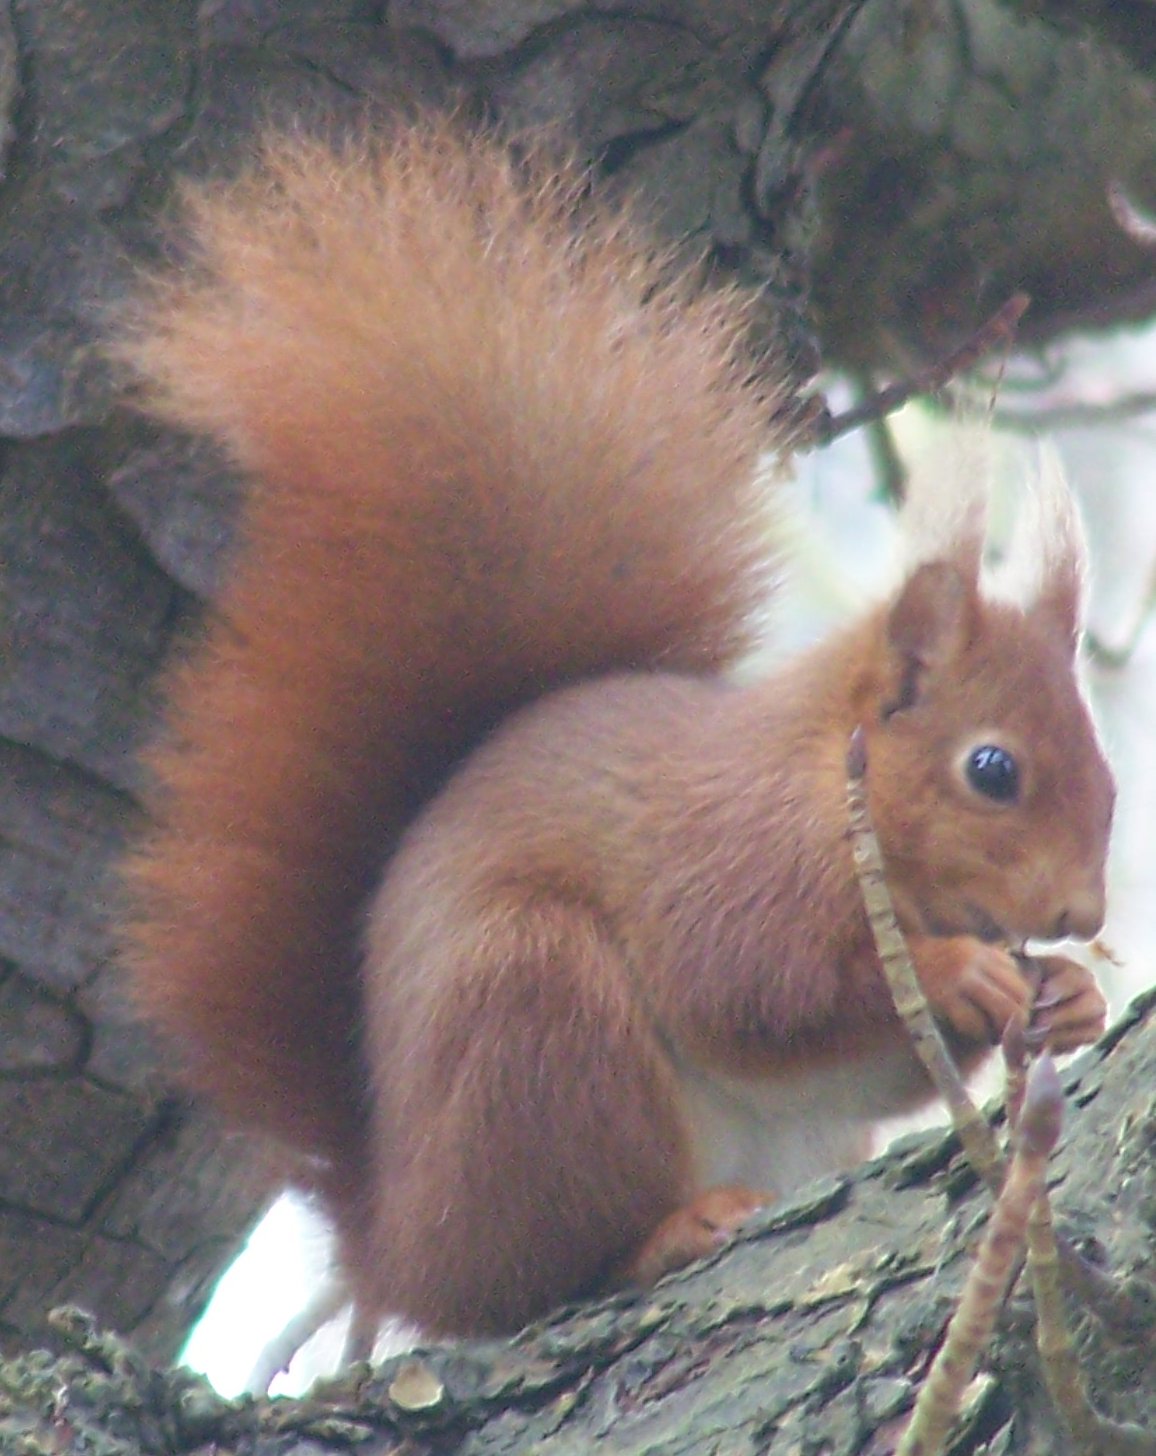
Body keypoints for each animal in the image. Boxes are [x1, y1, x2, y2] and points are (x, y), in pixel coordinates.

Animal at [116, 121, 1114, 1341]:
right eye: (991, 769)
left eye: (1112, 782)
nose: (1082, 915)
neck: (826, 784)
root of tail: (396, 1244)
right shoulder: (729, 865)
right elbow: (755, 993)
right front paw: (956, 971)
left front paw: (1071, 994)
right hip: (539, 1020)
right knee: (542, 1273)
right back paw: (665, 1231)